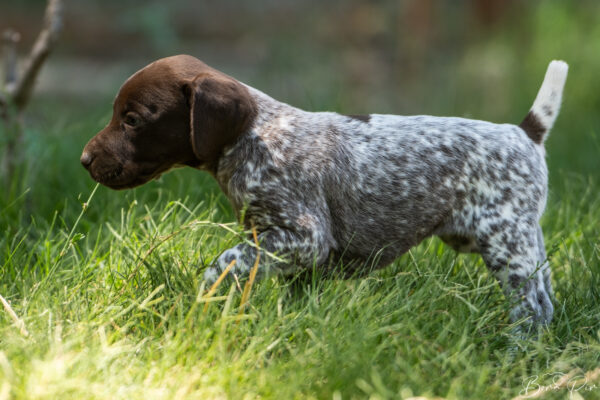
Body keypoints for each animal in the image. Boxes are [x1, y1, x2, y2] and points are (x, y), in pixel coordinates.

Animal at [82, 55, 568, 328]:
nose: (85, 160)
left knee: (534, 306)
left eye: (132, 119)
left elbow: (229, 258)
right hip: (525, 242)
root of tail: (525, 132)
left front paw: (209, 292)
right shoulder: (295, 257)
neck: (254, 136)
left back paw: (519, 349)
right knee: (546, 292)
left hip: (505, 242)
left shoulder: (303, 237)